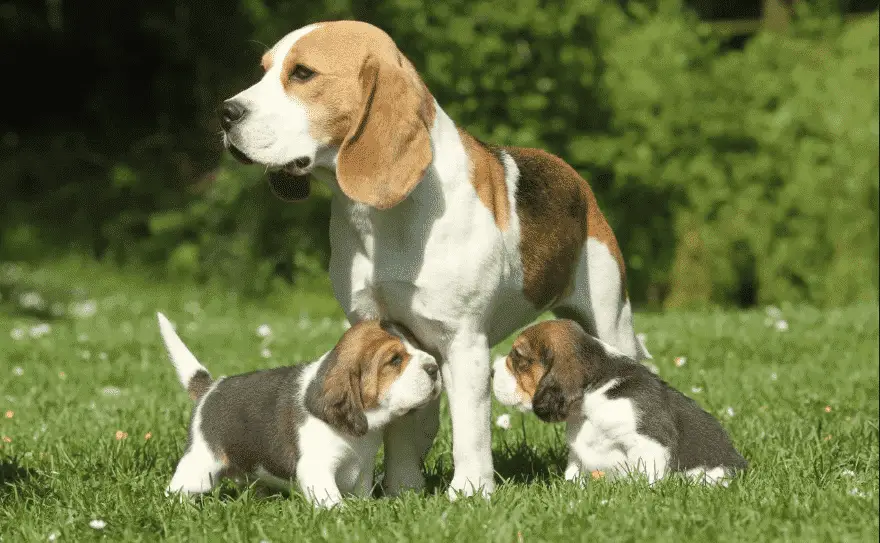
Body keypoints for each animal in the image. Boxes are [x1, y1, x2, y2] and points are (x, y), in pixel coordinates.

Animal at [156, 312, 440, 508]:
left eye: (417, 346)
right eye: (394, 360)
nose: (435, 367)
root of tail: (211, 387)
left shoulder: (363, 469)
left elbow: (361, 492)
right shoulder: (316, 469)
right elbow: (332, 501)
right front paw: (345, 516)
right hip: (200, 465)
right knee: (177, 489)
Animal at [218, 19, 648, 500]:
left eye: (303, 73)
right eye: (264, 70)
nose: (225, 113)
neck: (382, 220)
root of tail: (575, 180)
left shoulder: (463, 342)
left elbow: (470, 431)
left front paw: (470, 491)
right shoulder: (385, 331)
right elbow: (403, 420)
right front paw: (401, 490)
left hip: (610, 317)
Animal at [492, 318, 744, 484]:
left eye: (518, 356)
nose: (492, 372)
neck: (594, 396)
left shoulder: (649, 441)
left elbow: (646, 478)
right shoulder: (578, 455)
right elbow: (573, 475)